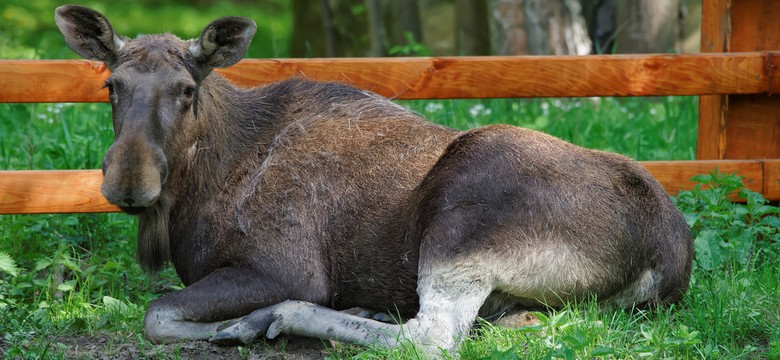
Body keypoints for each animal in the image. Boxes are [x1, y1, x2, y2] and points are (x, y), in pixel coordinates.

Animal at [53, 4, 688, 356]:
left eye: (187, 89)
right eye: (111, 85)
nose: (129, 181)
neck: (195, 192)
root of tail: (669, 256)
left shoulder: (286, 265)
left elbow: (156, 315)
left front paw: (232, 326)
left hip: (462, 218)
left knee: (430, 338)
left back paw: (278, 320)